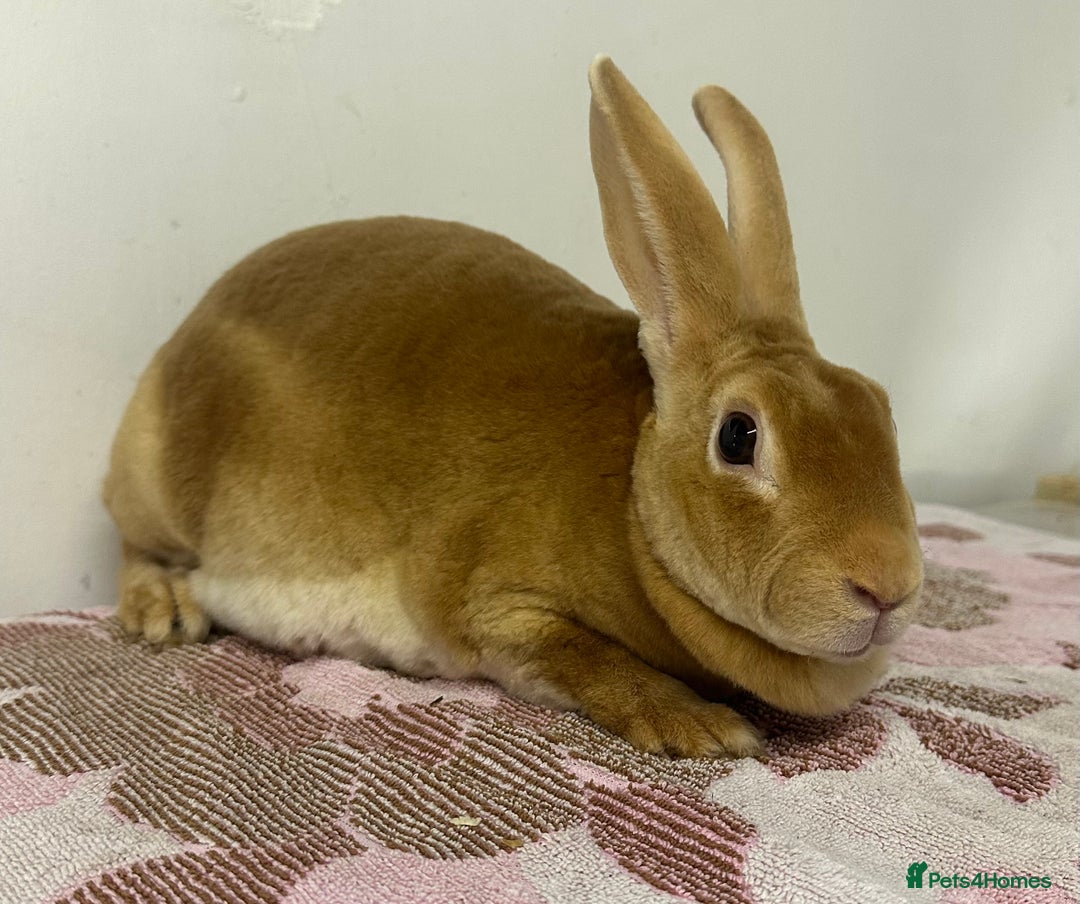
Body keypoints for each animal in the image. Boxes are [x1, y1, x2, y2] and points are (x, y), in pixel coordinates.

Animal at [103, 56, 923, 758]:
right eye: (739, 435)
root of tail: (184, 332)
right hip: (157, 485)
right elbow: (590, 657)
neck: (631, 502)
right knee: (134, 543)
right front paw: (704, 727)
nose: (889, 588)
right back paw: (164, 612)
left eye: (881, 409)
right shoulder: (502, 605)